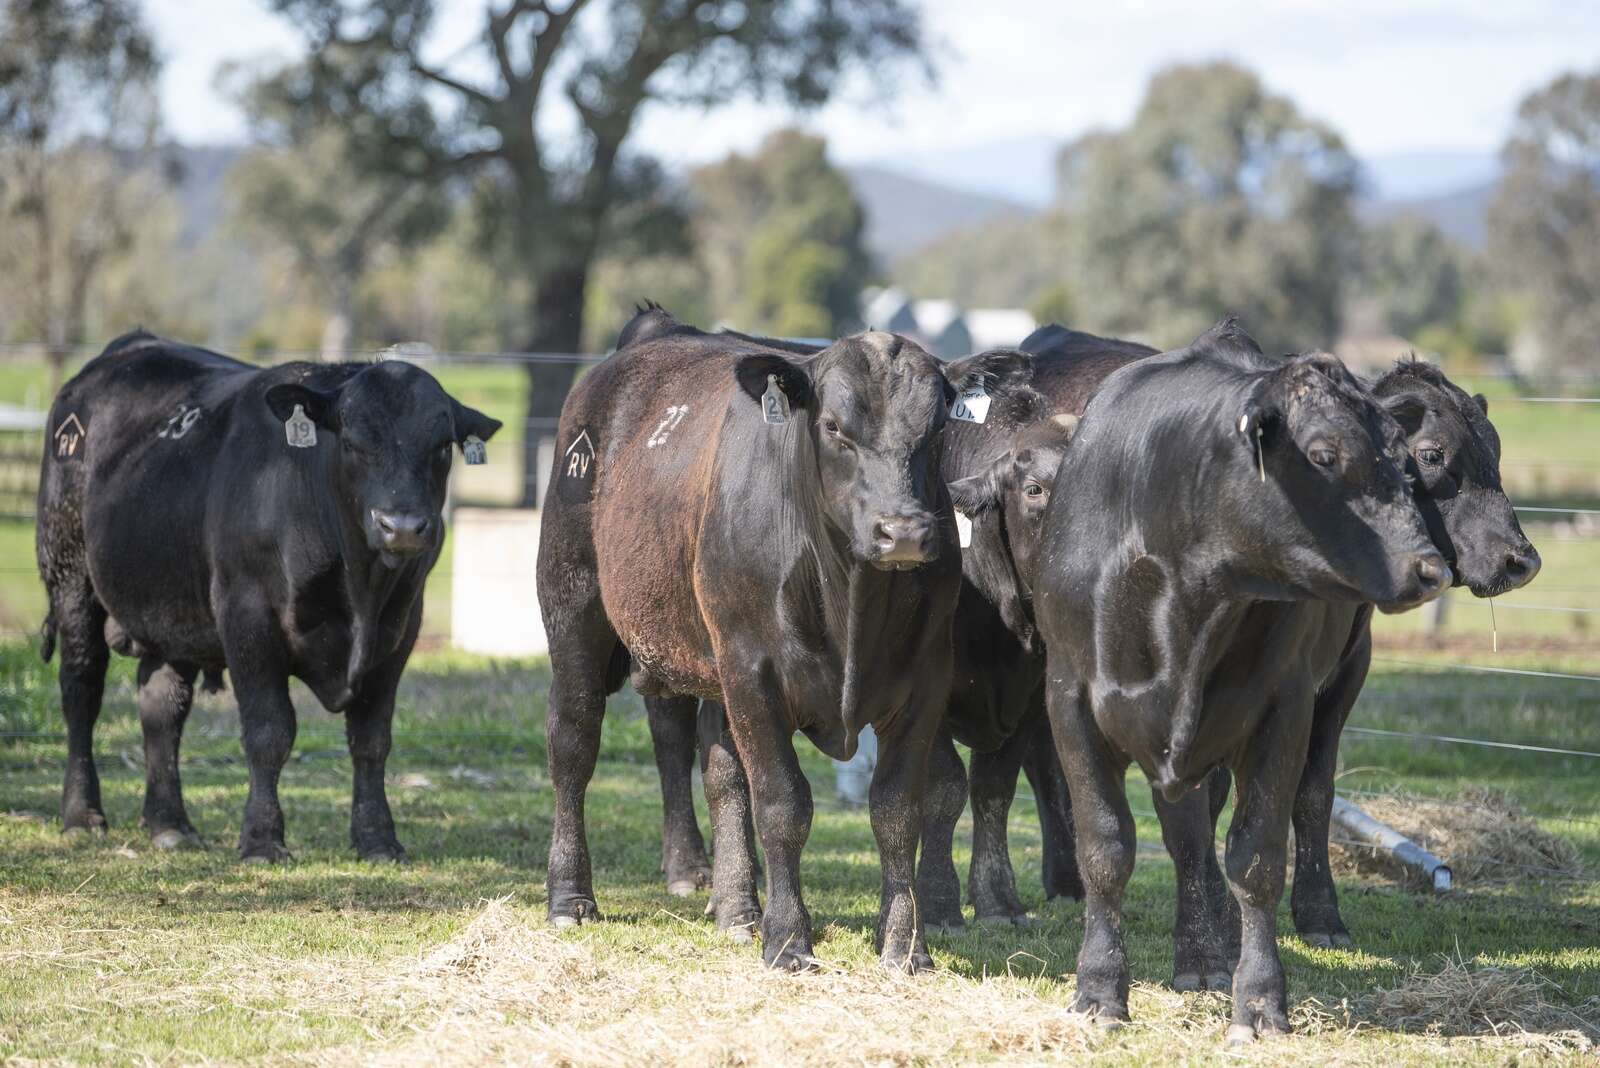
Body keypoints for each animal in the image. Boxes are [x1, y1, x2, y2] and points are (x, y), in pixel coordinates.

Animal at [35, 332, 501, 861]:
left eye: (442, 446)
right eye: (352, 442)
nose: (400, 526)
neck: (358, 589)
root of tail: (130, 346)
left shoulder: (401, 627)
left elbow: (371, 738)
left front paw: (378, 839)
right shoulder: (246, 613)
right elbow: (269, 731)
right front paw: (261, 839)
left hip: (171, 611)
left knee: (162, 706)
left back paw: (170, 824)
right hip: (69, 574)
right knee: (81, 689)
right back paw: (82, 815)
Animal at [535, 310, 1033, 972]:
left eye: (934, 432)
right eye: (834, 427)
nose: (902, 531)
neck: (851, 600)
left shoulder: (923, 683)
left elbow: (898, 809)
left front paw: (905, 944)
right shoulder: (755, 674)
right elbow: (782, 804)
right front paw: (789, 939)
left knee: (720, 771)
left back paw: (737, 909)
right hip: (575, 615)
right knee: (574, 743)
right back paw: (571, 897)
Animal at [1018, 324, 1541, 951]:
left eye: (1495, 452)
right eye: (1434, 454)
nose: (1521, 560)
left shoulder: (1329, 676)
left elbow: (1306, 795)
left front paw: (1311, 913)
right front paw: (1224, 922)